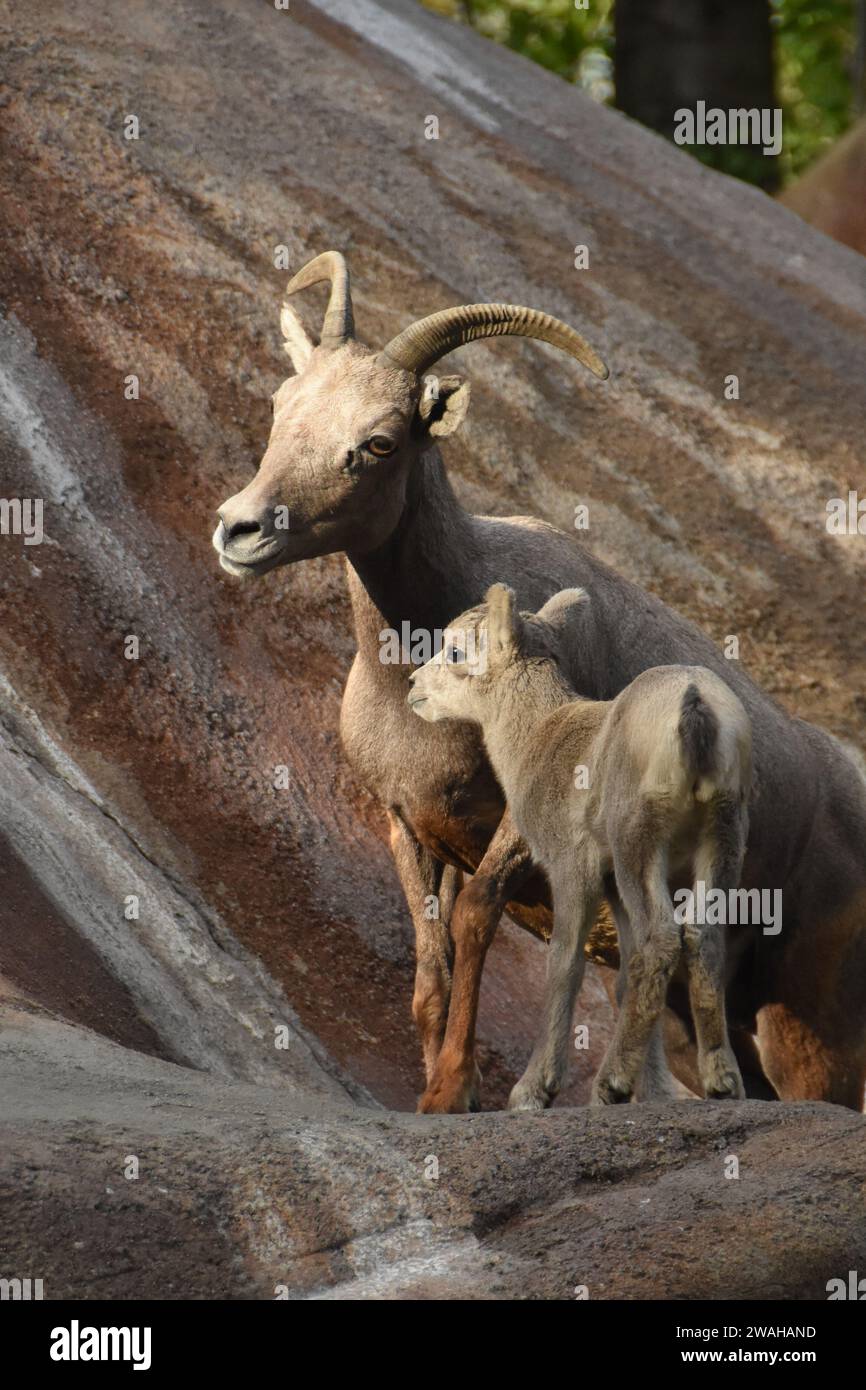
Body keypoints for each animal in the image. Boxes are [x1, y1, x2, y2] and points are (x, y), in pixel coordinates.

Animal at [405, 583, 750, 1106]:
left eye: (457, 651)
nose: (412, 684)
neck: (538, 734)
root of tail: (695, 705)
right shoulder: (611, 889)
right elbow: (625, 976)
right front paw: (652, 1093)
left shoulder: (573, 869)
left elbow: (565, 964)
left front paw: (533, 1092)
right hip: (722, 838)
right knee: (701, 939)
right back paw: (722, 1083)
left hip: (637, 843)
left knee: (661, 940)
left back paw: (612, 1084)